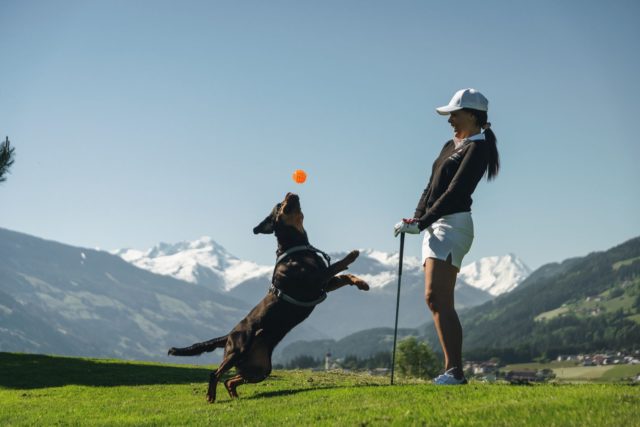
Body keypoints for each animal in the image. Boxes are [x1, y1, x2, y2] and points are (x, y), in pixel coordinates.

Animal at [169, 192, 370, 402]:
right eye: (280, 205)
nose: (290, 192)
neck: (297, 246)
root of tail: (228, 335)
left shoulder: (323, 285)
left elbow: (344, 276)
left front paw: (362, 283)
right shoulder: (313, 282)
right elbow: (337, 266)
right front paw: (352, 255)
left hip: (260, 367)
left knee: (230, 380)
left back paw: (235, 396)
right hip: (237, 350)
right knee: (215, 374)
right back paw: (211, 396)